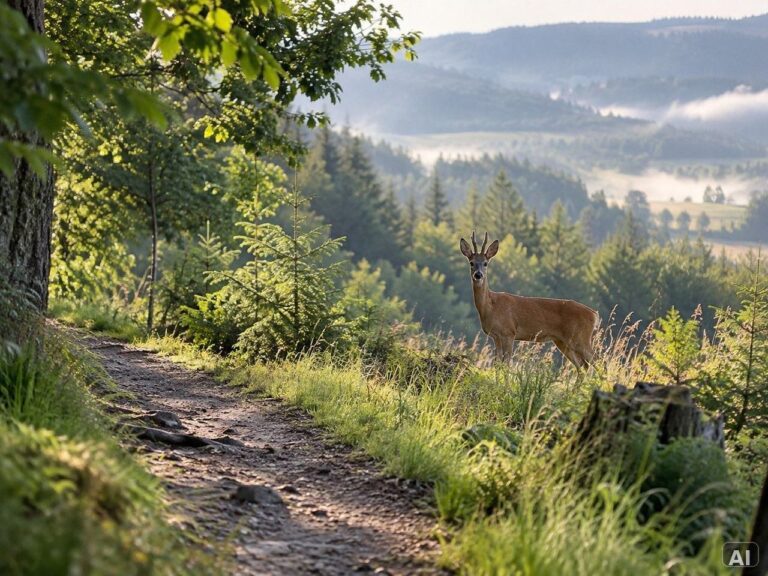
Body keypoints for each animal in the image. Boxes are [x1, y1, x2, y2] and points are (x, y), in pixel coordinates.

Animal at [459, 231, 599, 368]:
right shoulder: (496, 336)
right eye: (471, 263)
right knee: (582, 366)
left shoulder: (509, 332)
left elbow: (506, 364)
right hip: (562, 341)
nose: (478, 275)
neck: (491, 306)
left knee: (597, 361)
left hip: (580, 338)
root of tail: (594, 314)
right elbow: (497, 364)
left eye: (485, 263)